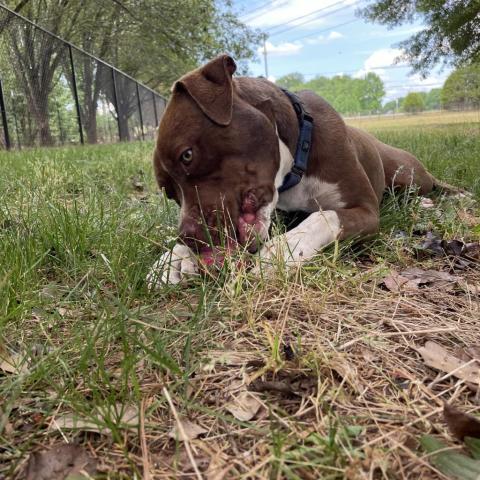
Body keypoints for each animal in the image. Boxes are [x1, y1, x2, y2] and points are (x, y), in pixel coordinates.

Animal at [146, 54, 438, 284]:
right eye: (169, 193)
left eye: (187, 155)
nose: (188, 238)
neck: (296, 164)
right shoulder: (276, 214)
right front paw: (175, 257)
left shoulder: (366, 210)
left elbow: (322, 216)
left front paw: (283, 249)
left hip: (409, 174)